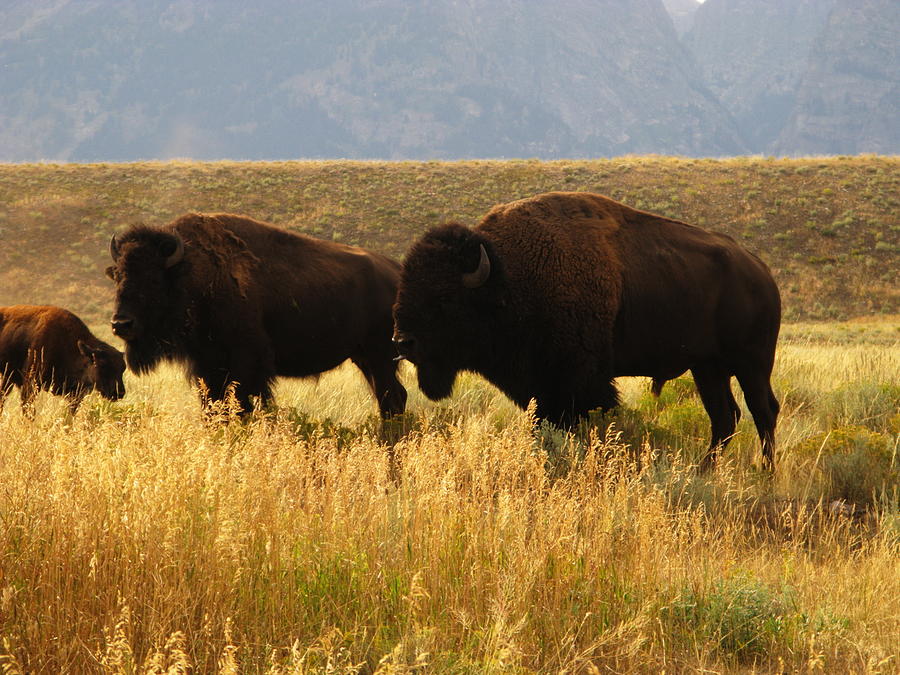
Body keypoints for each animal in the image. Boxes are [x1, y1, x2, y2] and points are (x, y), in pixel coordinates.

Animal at [107, 213, 410, 418]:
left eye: (153, 280)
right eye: (118, 276)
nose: (121, 324)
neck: (195, 273)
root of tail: (395, 271)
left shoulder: (245, 362)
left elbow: (243, 404)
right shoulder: (207, 365)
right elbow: (213, 407)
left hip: (379, 357)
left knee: (392, 397)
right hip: (364, 357)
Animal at [394, 191, 780, 470]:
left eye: (444, 297)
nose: (402, 341)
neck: (509, 277)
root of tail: (760, 271)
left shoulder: (580, 381)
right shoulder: (541, 388)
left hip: (751, 362)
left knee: (763, 410)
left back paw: (766, 473)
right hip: (708, 367)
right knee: (725, 417)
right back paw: (704, 471)